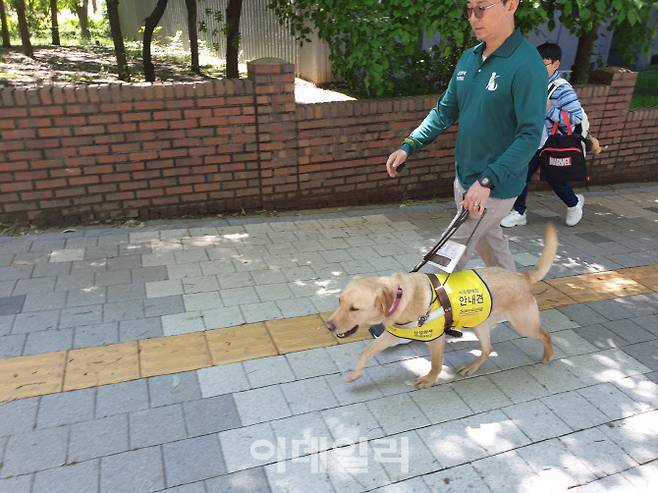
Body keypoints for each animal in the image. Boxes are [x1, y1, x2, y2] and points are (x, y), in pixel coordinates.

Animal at [326, 223, 556, 388]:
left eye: (354, 308)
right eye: (339, 301)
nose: (328, 326)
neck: (402, 296)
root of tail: (521, 276)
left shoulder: (436, 339)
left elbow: (436, 364)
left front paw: (429, 379)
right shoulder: (392, 335)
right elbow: (366, 352)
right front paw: (355, 374)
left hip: (524, 324)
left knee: (545, 335)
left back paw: (547, 356)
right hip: (480, 325)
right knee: (487, 349)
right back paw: (471, 368)